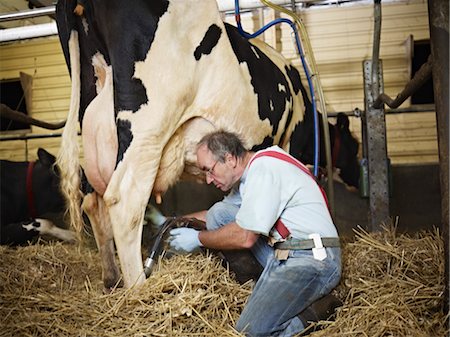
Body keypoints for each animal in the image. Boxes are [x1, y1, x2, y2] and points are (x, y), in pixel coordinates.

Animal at [55, 0, 358, 288]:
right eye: (354, 147)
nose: (355, 179)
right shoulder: (289, 139)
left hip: (93, 123)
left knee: (93, 201)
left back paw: (112, 279)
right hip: (149, 125)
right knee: (124, 200)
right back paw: (139, 288)